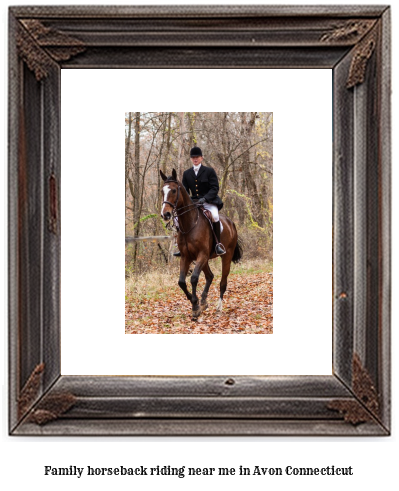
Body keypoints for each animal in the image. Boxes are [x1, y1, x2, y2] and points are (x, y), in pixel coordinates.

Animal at [160, 169, 244, 320]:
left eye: (174, 190)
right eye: (162, 191)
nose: (166, 214)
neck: (189, 224)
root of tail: (231, 223)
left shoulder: (202, 255)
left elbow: (193, 278)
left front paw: (195, 306)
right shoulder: (186, 257)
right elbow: (181, 282)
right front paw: (196, 303)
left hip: (225, 256)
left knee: (223, 282)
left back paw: (218, 308)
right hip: (204, 259)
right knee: (210, 276)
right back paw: (204, 302)